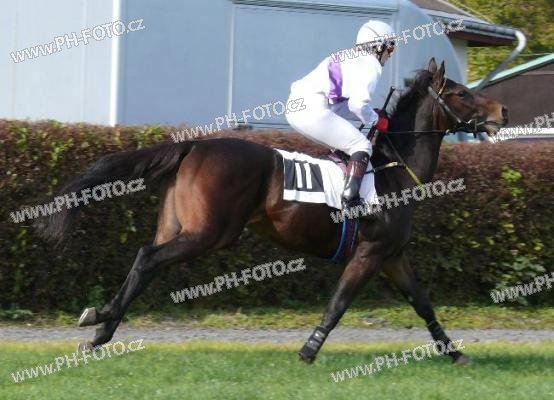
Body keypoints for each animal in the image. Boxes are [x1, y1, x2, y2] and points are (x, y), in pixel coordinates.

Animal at [37, 58, 507, 364]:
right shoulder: (370, 253)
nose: (502, 111)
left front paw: (454, 352)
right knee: (148, 258)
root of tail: (194, 145)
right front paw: (309, 350)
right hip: (209, 232)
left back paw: (101, 326)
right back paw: (102, 324)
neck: (393, 171)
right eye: (461, 93)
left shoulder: (392, 255)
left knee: (144, 261)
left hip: (177, 225)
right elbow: (338, 303)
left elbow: (423, 304)